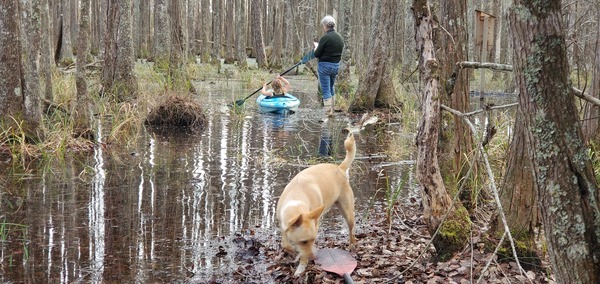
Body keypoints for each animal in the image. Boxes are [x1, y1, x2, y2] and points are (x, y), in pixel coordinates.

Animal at [276, 133, 356, 276]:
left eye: (313, 239)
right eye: (303, 241)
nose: (314, 257)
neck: (297, 198)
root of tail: (340, 168)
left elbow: (302, 255)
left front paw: (301, 266)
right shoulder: (283, 223)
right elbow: (286, 243)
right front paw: (292, 251)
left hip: (347, 212)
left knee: (352, 231)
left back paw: (351, 245)